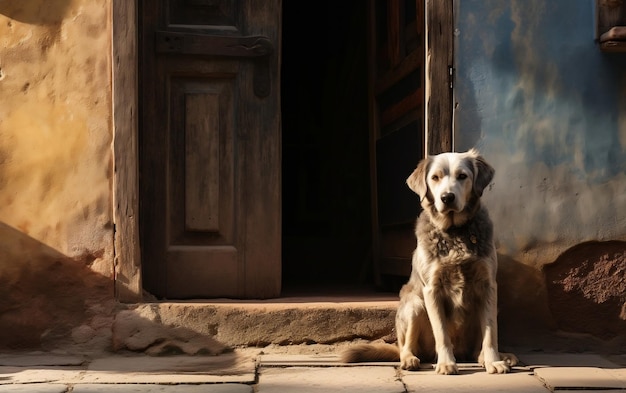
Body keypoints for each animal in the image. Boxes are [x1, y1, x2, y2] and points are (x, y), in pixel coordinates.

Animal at [344, 149, 516, 374]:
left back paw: (493, 357)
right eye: (435, 178)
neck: (454, 233)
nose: (447, 197)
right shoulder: (432, 289)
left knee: (478, 346)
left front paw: (494, 361)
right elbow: (441, 333)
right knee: (406, 347)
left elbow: (490, 332)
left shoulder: (488, 286)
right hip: (415, 306)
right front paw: (446, 363)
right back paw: (411, 360)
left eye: (462, 176)